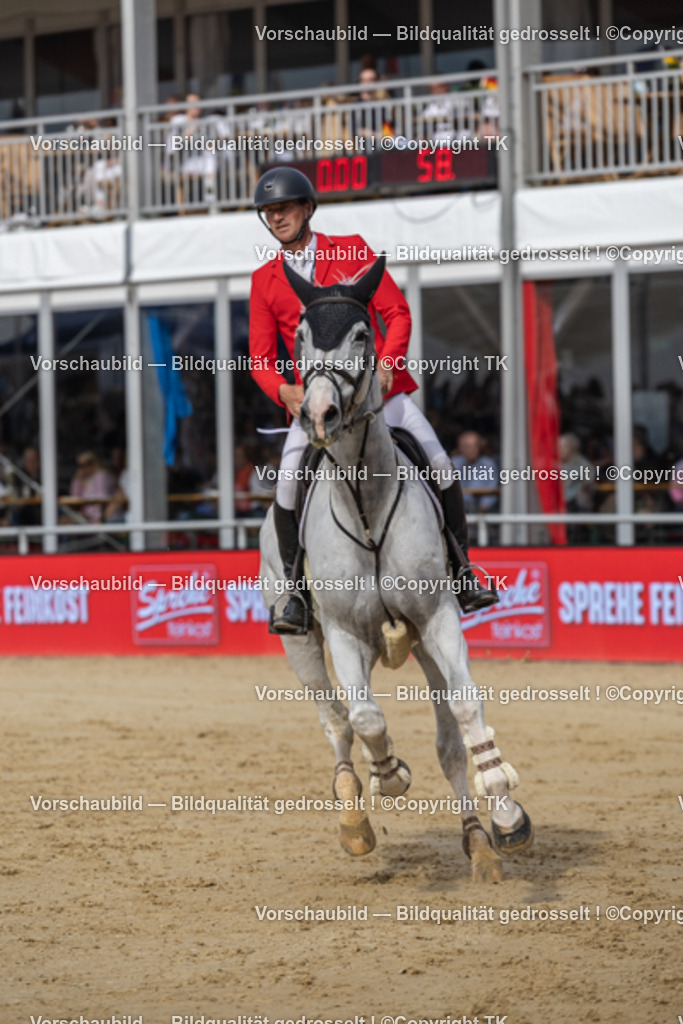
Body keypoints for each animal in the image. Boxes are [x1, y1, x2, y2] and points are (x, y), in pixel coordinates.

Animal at [259, 256, 533, 882]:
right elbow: (365, 719)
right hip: (301, 644)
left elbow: (466, 710)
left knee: (449, 743)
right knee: (335, 720)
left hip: (425, 648)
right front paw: (388, 776)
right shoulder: (341, 633)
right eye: (299, 337)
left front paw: (507, 815)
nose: (318, 414)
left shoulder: (437, 620)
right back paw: (353, 817)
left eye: (363, 334)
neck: (365, 500)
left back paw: (479, 841)